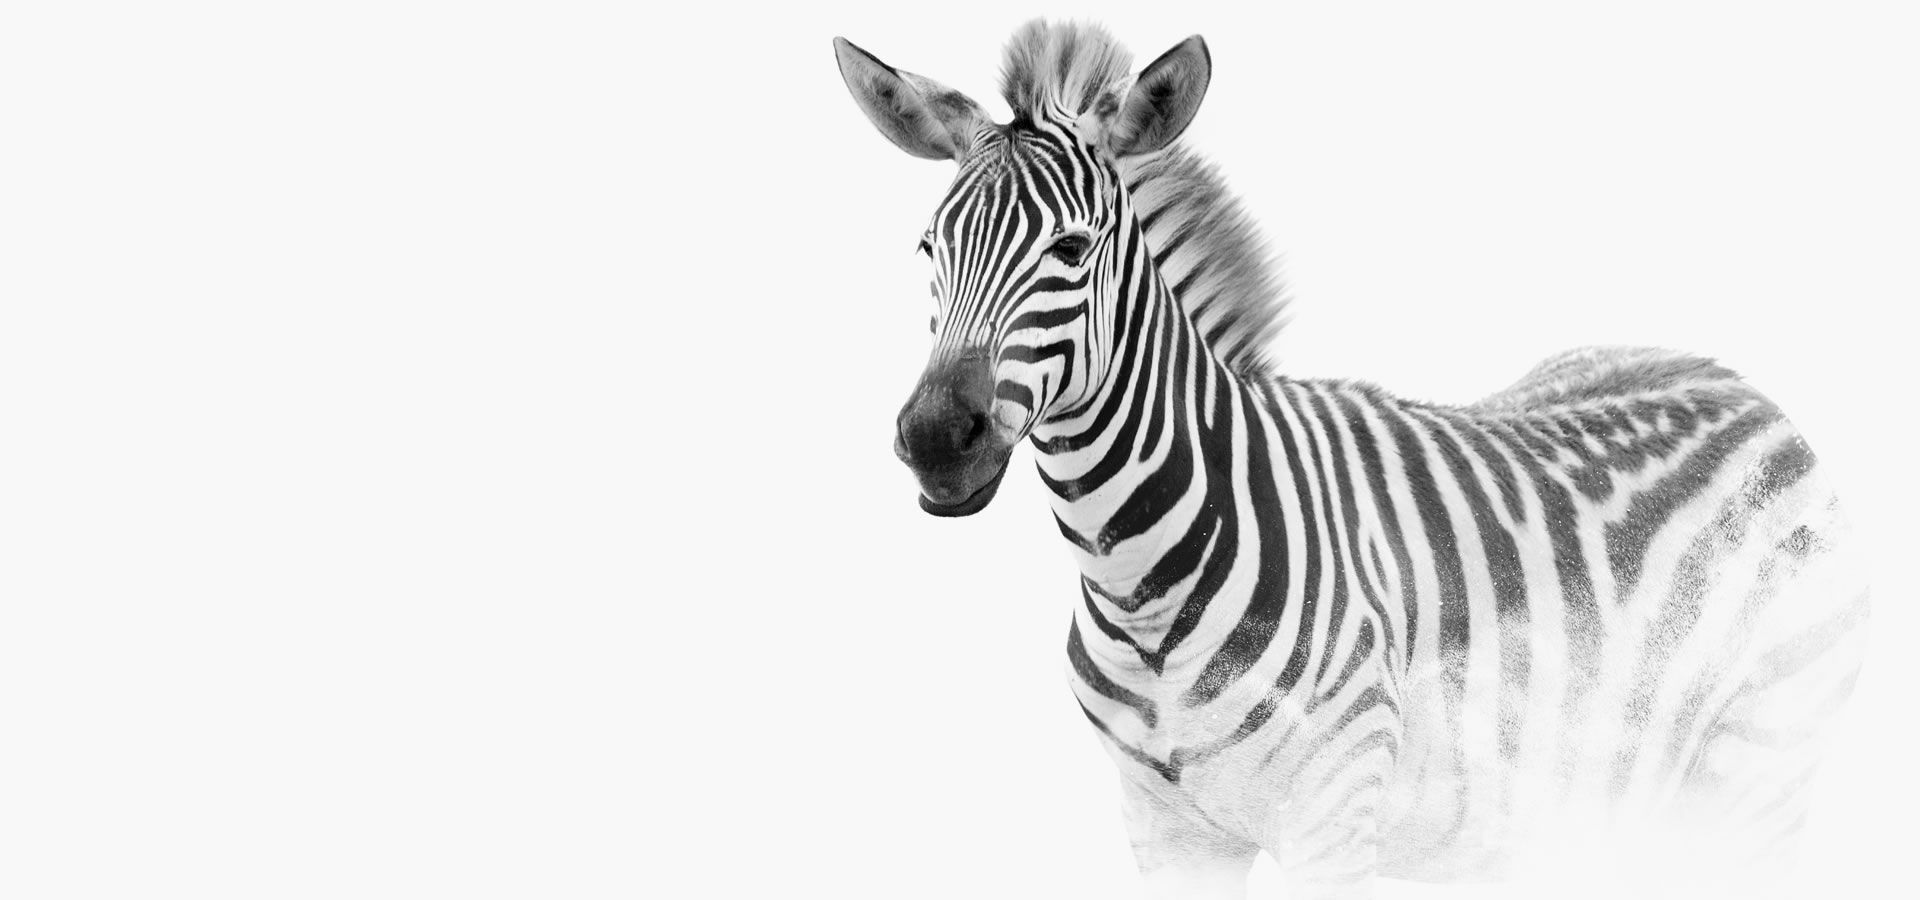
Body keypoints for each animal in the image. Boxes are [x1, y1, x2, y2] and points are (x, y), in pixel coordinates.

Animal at [832, 21, 1868, 899]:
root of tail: (1730, 375)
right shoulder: (1164, 828)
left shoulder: (1334, 816)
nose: (935, 438)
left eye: (1073, 248)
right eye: (926, 248)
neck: (1138, 584)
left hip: (1762, 765)